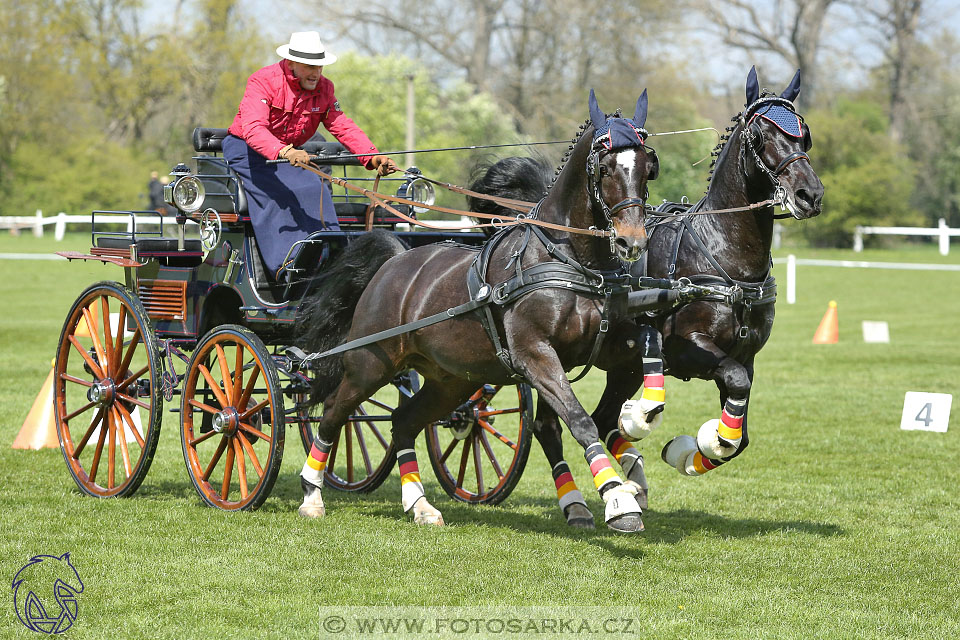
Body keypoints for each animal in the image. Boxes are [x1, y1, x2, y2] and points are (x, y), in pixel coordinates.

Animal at [296, 89, 660, 528]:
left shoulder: (602, 351)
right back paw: (311, 493)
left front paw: (640, 419)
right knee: (335, 411)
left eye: (648, 168)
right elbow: (579, 421)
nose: (632, 242)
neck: (567, 258)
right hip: (370, 364)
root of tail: (394, 259)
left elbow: (634, 363)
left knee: (403, 422)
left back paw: (420, 504)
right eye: (604, 168)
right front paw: (617, 499)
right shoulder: (535, 354)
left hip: (452, 379)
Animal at [472, 67, 824, 528]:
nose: (809, 195)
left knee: (596, 418)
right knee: (548, 421)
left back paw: (627, 477)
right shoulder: (686, 347)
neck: (723, 253)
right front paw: (685, 447)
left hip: (619, 367)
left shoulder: (746, 355)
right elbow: (732, 379)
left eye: (804, 135)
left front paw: (697, 449)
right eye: (760, 136)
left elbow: (741, 427)